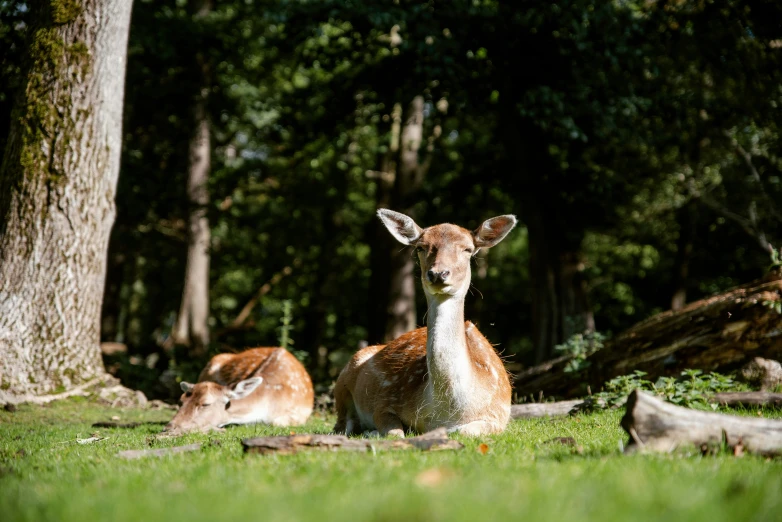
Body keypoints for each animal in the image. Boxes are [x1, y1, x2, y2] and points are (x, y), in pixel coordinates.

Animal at [334, 207, 516, 434]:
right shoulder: (387, 401)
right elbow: (394, 431)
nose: (438, 273)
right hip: (343, 379)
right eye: (421, 247)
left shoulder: (499, 414)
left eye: (467, 249)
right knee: (343, 423)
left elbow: (463, 430)